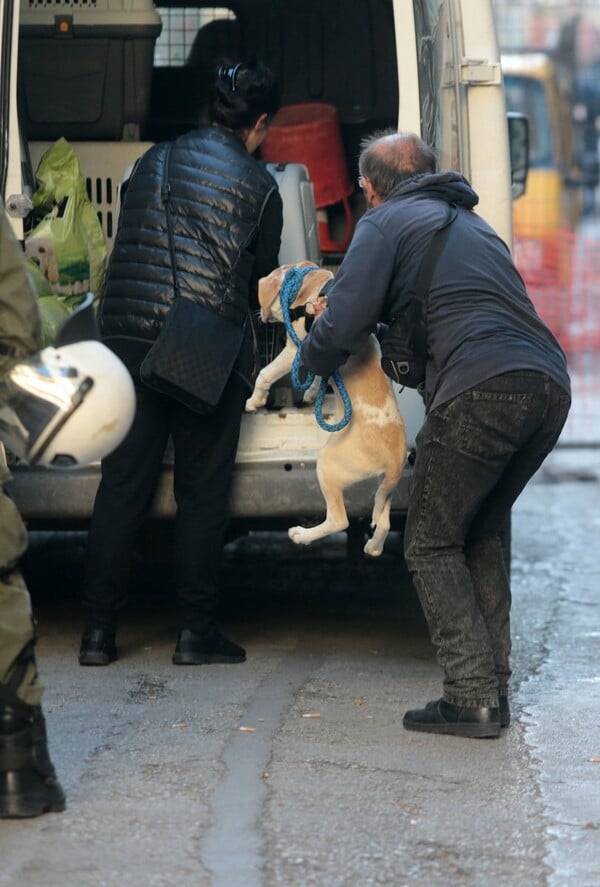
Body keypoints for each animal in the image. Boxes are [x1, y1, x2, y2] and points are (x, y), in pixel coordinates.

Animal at [244, 260, 408, 560]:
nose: (259, 317)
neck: (306, 284)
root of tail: (394, 461)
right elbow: (317, 376)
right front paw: (311, 392)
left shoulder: (296, 351)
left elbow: (265, 373)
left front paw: (254, 401)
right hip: (385, 492)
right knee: (383, 522)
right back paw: (373, 547)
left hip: (328, 466)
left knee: (339, 521)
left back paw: (301, 535)